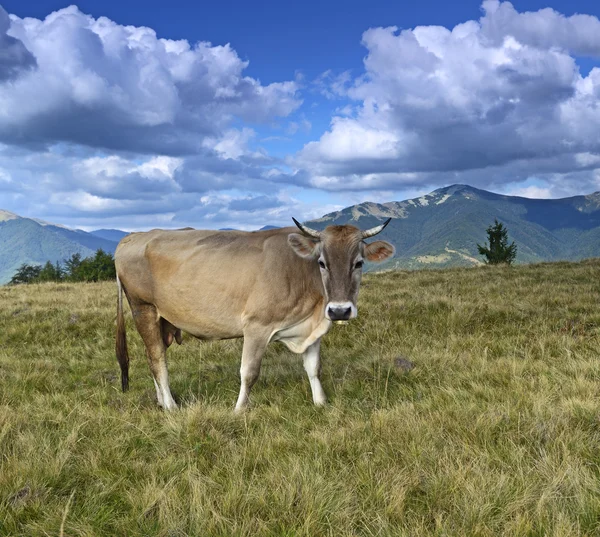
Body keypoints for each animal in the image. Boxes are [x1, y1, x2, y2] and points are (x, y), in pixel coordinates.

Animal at [115, 218, 396, 410]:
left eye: (358, 263)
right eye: (322, 263)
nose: (339, 310)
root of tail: (135, 235)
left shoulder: (311, 327)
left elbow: (314, 368)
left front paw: (320, 402)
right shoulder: (256, 325)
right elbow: (249, 372)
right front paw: (239, 410)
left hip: (163, 319)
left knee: (152, 355)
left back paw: (161, 401)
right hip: (144, 309)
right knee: (157, 359)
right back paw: (171, 406)